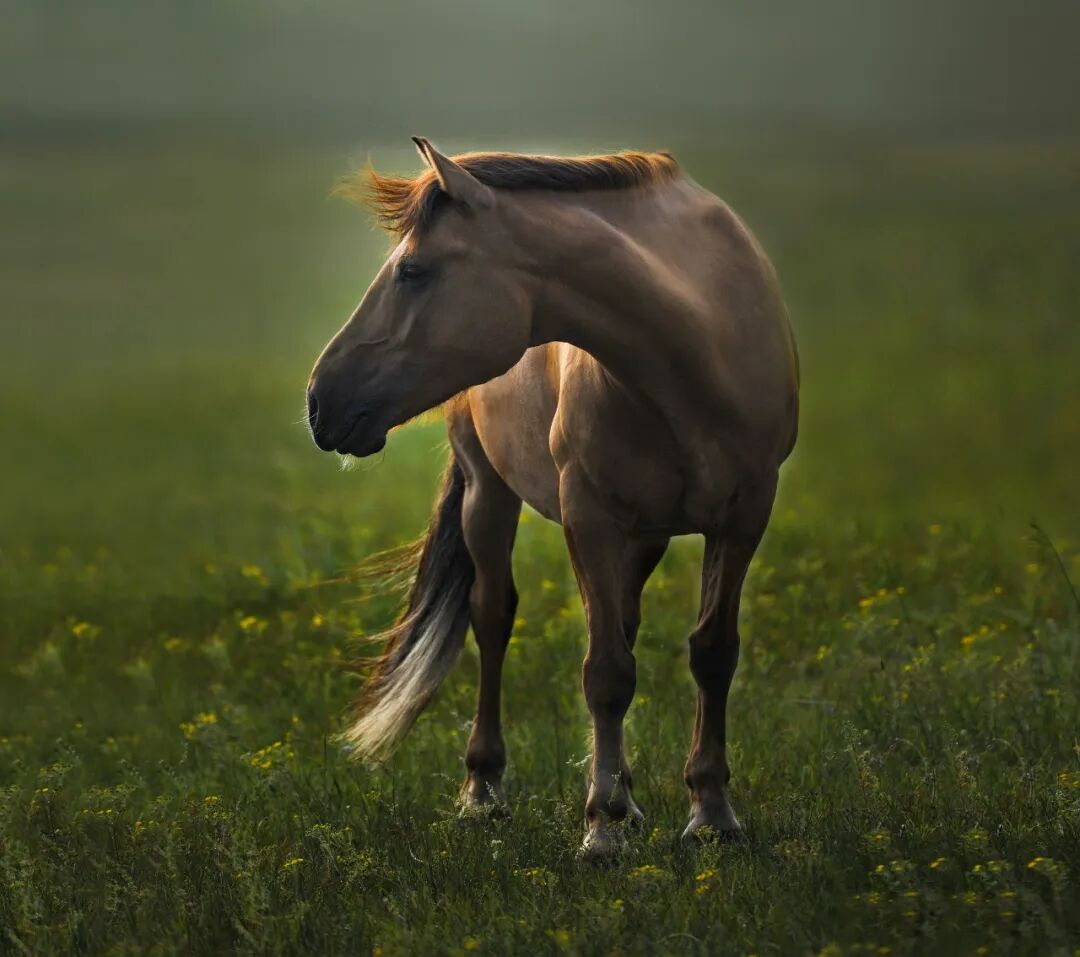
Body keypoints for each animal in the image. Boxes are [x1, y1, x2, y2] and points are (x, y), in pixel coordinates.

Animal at [306, 137, 799, 859]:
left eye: (414, 272)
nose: (321, 401)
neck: (697, 352)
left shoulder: (744, 516)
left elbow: (711, 652)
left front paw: (710, 812)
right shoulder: (588, 517)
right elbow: (606, 673)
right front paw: (602, 829)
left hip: (645, 534)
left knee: (623, 620)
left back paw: (628, 796)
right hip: (488, 492)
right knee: (492, 617)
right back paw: (484, 792)